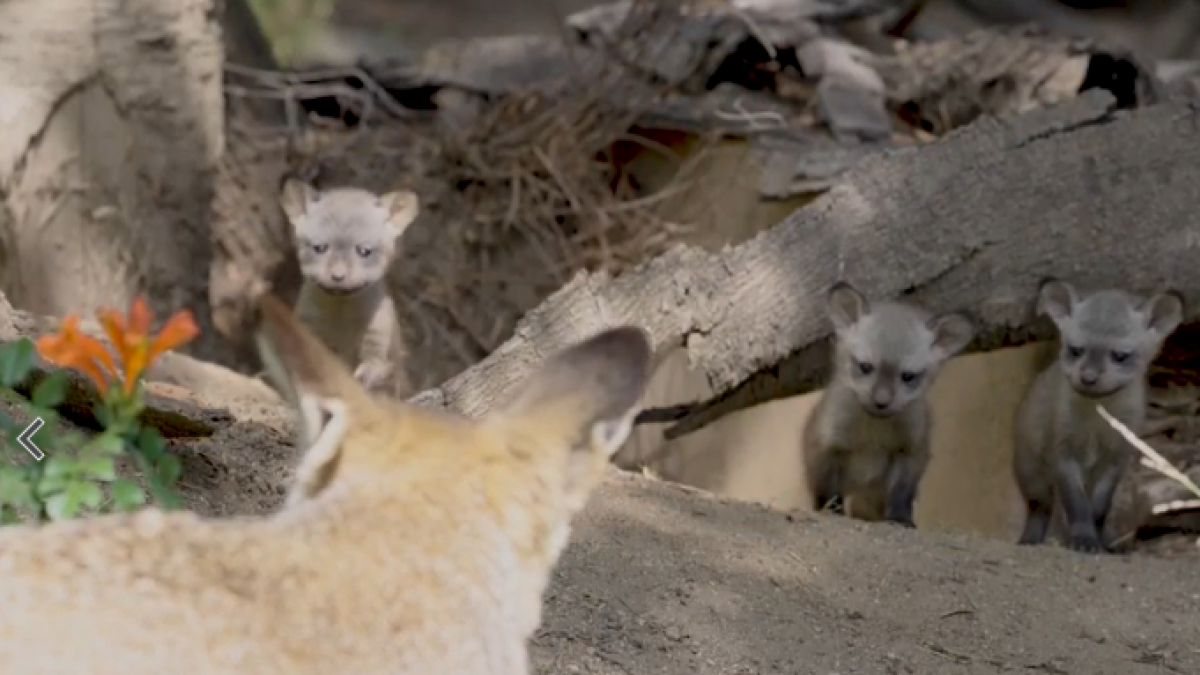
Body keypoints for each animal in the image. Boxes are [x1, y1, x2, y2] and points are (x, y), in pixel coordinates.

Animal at [803, 282, 975, 527]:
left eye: (908, 376)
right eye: (865, 367)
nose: (881, 402)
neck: (873, 436)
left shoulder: (909, 450)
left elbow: (901, 494)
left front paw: (900, 520)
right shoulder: (827, 446)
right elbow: (829, 496)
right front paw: (831, 514)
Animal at [1013, 278, 1183, 553]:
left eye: (1120, 355)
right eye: (1075, 350)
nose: (1089, 377)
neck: (1096, 423)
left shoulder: (1117, 457)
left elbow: (1100, 507)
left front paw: (1097, 539)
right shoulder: (1062, 452)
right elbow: (1077, 506)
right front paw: (1083, 539)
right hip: (1031, 473)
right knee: (1040, 508)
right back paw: (1030, 540)